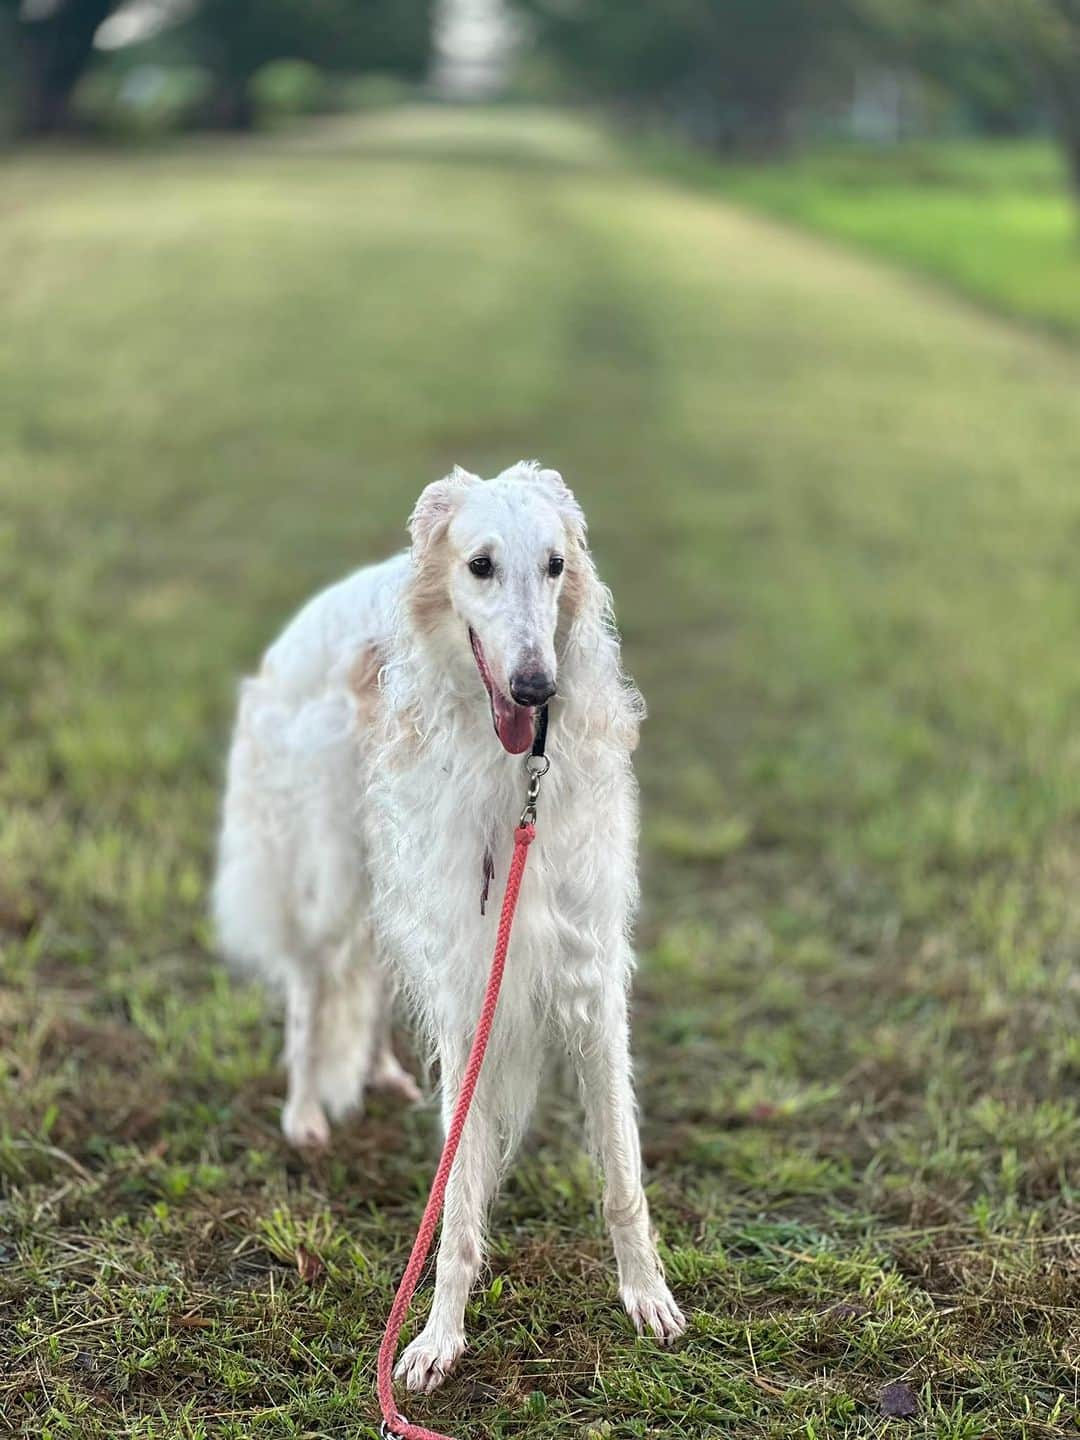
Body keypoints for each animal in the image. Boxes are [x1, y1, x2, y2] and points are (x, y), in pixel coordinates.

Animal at [213, 457, 685, 1382]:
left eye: (556, 565)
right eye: (480, 565)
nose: (538, 687)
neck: (515, 781)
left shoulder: (588, 971)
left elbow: (621, 1167)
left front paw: (646, 1295)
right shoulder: (472, 977)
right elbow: (458, 1188)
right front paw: (438, 1337)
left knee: (366, 976)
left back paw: (380, 1075)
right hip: (332, 868)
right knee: (312, 987)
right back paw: (305, 1114)